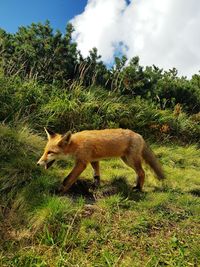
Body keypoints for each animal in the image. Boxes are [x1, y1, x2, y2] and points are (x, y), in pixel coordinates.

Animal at [36, 129, 165, 194]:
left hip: (131, 160)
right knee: (139, 172)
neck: (76, 145)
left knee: (142, 172)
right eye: (45, 151)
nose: (38, 163)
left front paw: (60, 191)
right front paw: (95, 186)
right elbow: (96, 174)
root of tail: (139, 135)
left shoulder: (82, 163)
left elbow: (67, 179)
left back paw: (138, 188)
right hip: (127, 160)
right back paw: (137, 185)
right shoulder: (93, 160)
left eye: (50, 152)